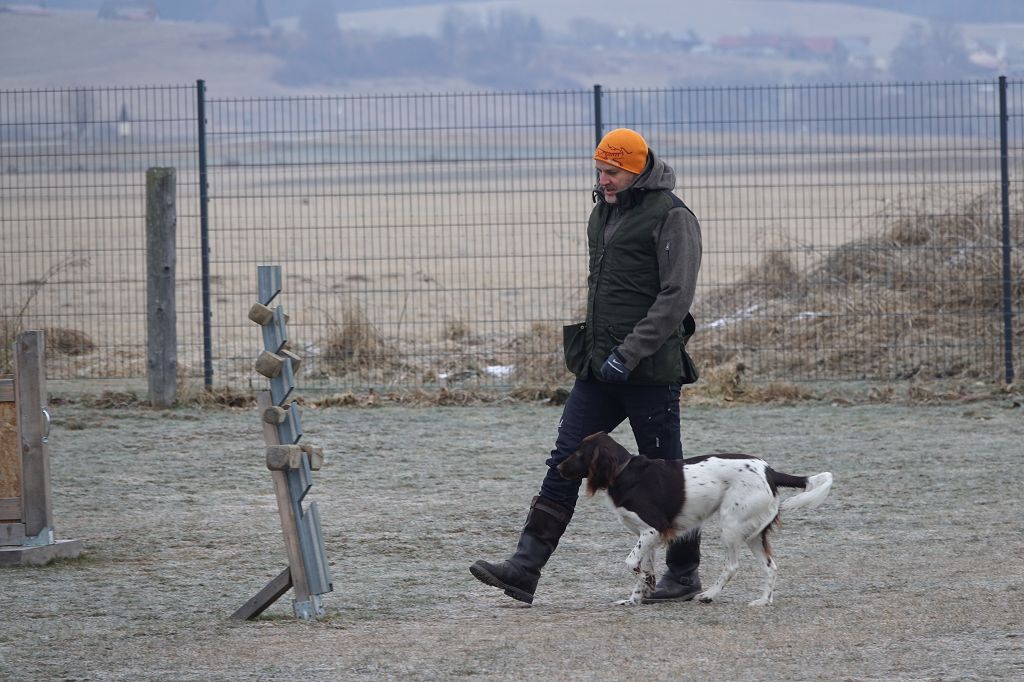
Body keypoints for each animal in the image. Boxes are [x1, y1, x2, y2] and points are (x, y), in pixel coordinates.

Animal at [557, 432, 832, 607]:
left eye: (579, 453)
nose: (557, 467)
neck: (623, 472)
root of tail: (769, 471)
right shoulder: (645, 535)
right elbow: (644, 567)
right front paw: (635, 598)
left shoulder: (652, 530)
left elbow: (630, 563)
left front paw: (645, 583)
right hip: (753, 531)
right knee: (770, 567)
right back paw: (763, 601)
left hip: (731, 524)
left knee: (732, 566)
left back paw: (709, 595)